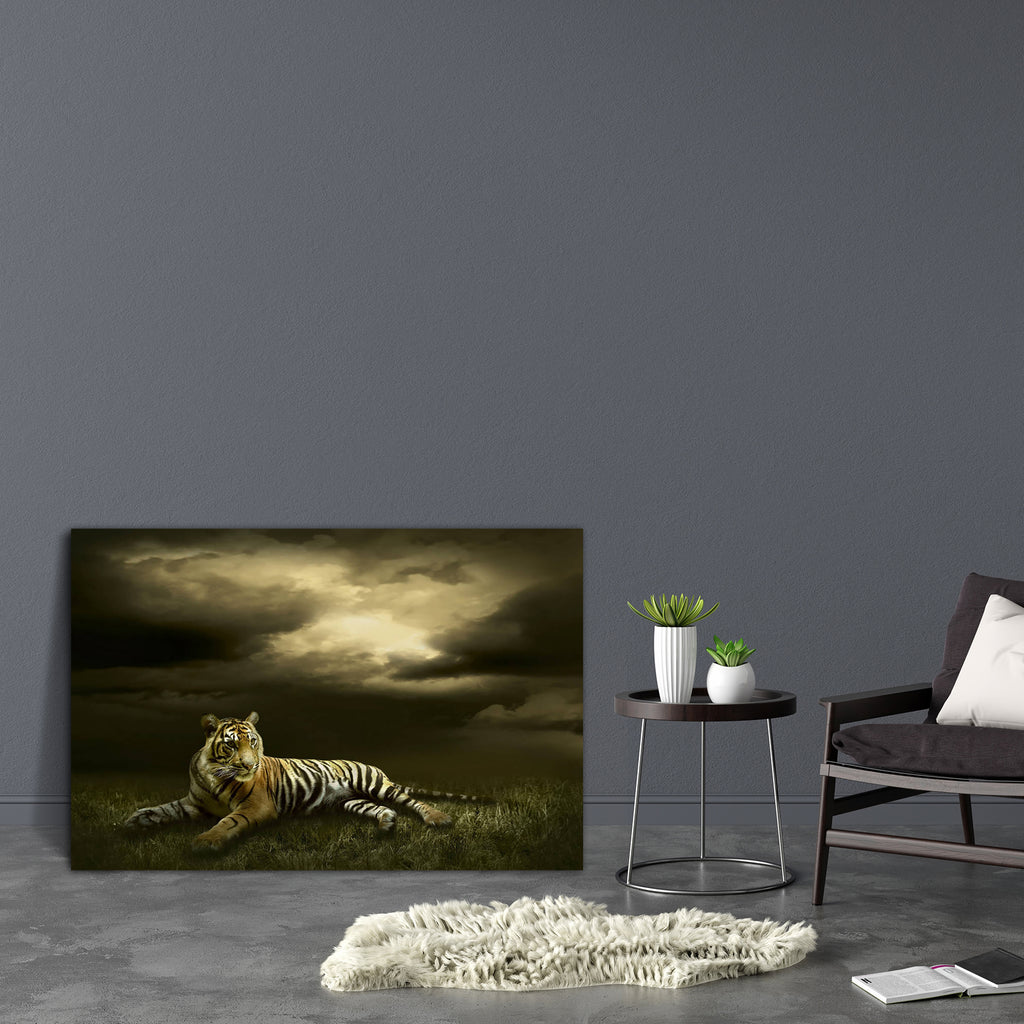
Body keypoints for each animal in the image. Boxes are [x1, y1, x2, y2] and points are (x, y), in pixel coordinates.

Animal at [123, 711, 485, 853]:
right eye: (231, 745)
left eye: (252, 742)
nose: (250, 764)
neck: (215, 773)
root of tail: (374, 766)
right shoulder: (194, 803)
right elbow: (162, 809)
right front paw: (134, 822)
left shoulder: (256, 806)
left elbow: (229, 821)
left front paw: (206, 841)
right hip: (351, 800)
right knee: (383, 809)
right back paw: (385, 825)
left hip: (376, 784)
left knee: (411, 801)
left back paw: (438, 817)